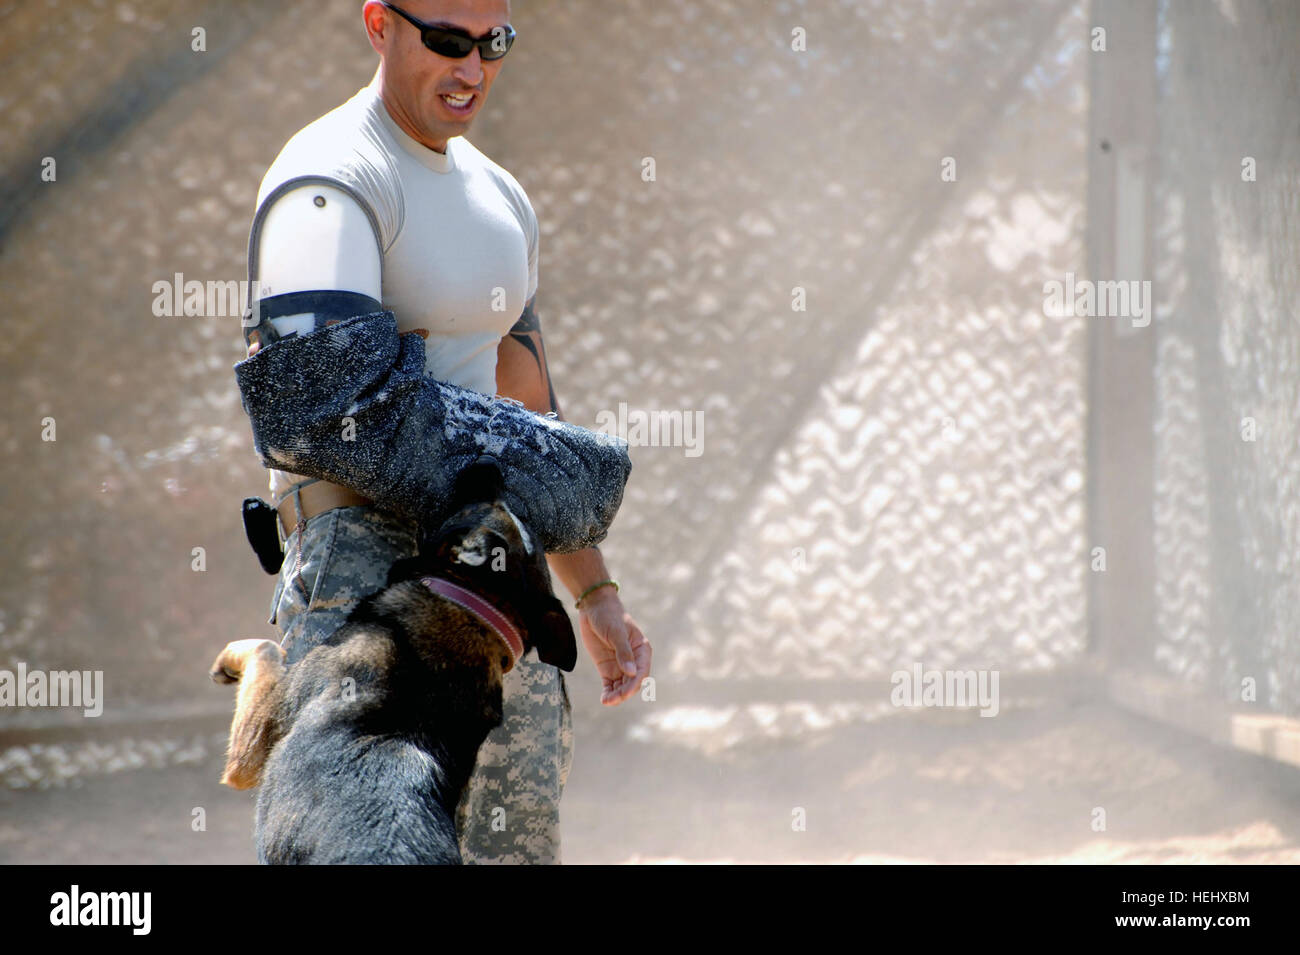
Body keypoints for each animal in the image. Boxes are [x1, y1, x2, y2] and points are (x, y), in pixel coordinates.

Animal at [206, 457, 574, 867]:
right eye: (506, 506)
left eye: (485, 502)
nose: (487, 462)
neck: (471, 612)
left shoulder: (255, 745)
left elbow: (264, 649)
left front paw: (226, 661)